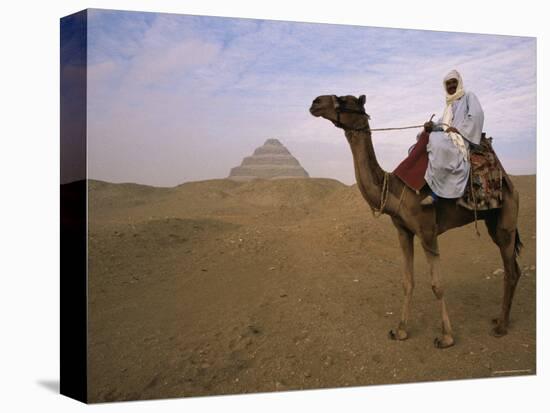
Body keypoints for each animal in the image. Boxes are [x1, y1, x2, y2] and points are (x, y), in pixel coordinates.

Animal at [310, 94, 528, 348]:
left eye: (345, 100)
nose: (315, 102)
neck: (394, 189)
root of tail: (508, 181)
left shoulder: (427, 232)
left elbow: (437, 285)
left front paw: (446, 337)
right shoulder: (403, 231)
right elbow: (407, 281)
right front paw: (400, 330)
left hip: (507, 220)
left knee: (510, 270)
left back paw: (501, 327)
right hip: (492, 221)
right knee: (514, 268)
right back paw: (500, 319)